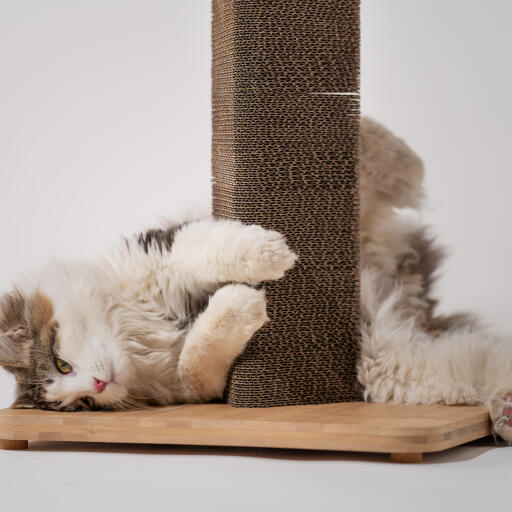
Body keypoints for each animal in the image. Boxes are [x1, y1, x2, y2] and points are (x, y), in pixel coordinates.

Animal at [1, 118, 512, 442]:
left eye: (61, 365)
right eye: (81, 406)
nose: (99, 386)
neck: (139, 332)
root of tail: (412, 293)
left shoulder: (158, 249)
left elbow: (213, 250)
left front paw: (273, 255)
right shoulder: (196, 388)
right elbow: (197, 357)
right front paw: (244, 305)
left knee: (377, 162)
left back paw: (399, 153)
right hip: (386, 363)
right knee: (478, 363)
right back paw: (504, 413)